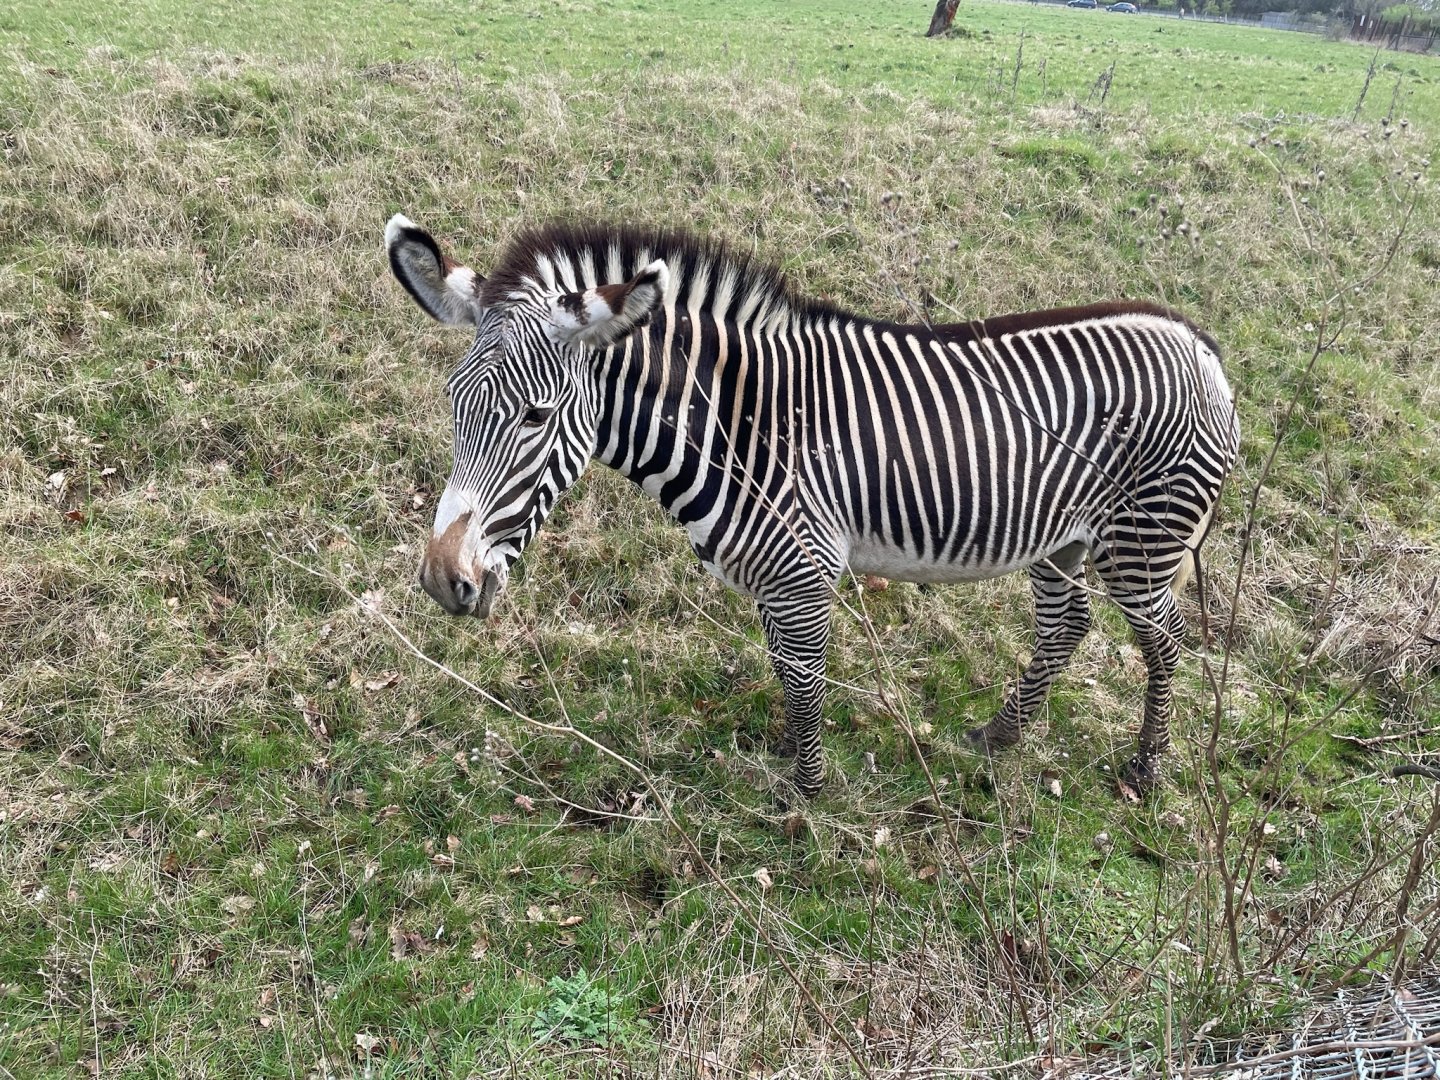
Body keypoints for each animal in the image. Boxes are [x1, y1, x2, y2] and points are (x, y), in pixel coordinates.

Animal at [385, 214, 1240, 798]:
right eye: (454, 403)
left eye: (535, 416)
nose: (442, 580)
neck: (733, 425)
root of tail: (1197, 341)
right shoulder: (774, 581)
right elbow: (786, 673)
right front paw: (794, 771)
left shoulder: (800, 575)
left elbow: (804, 686)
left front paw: (805, 796)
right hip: (1061, 538)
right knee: (1068, 625)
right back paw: (999, 736)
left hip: (1141, 543)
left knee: (1164, 640)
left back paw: (1146, 765)